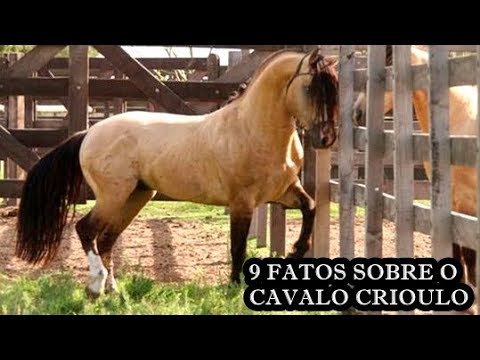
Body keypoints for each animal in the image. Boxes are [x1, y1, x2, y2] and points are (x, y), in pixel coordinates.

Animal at [14, 47, 338, 298]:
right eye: (311, 88)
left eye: (334, 87)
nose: (326, 139)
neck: (251, 128)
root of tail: (89, 133)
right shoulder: (242, 203)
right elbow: (237, 247)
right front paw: (234, 287)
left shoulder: (283, 193)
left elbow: (310, 207)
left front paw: (296, 251)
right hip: (112, 196)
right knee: (86, 230)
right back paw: (96, 286)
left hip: (135, 197)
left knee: (106, 239)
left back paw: (113, 291)